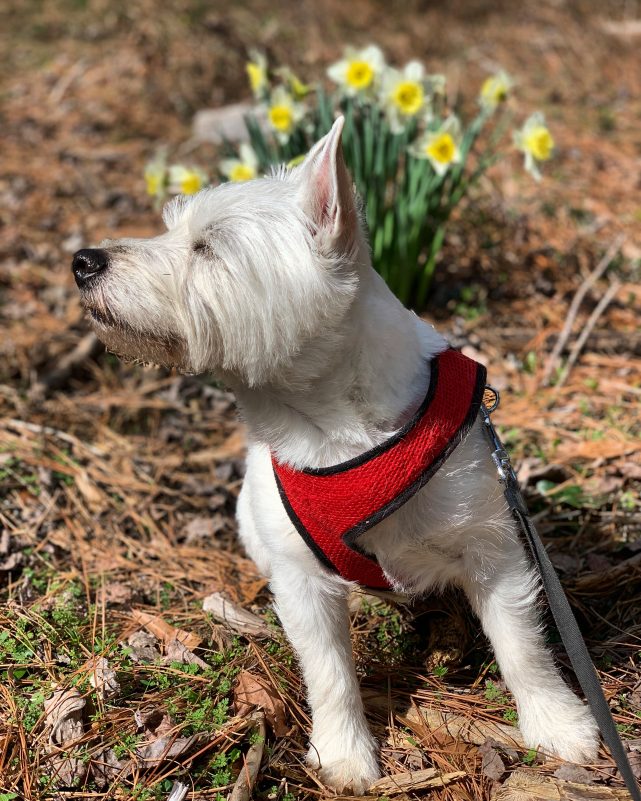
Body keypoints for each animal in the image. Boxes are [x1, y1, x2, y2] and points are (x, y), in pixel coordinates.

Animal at [72, 115, 596, 792]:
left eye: (207, 247)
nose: (83, 260)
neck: (332, 427)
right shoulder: (302, 579)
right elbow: (329, 672)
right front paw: (345, 757)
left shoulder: (494, 548)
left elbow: (524, 646)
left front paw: (560, 727)